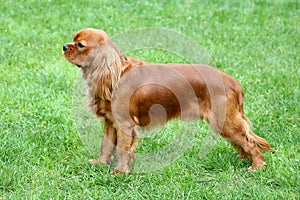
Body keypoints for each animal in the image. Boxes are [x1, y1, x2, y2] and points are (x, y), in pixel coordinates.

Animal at [62, 28, 274, 175]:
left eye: (80, 45)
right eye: (73, 41)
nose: (64, 46)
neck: (115, 74)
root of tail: (233, 82)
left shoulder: (124, 125)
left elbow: (123, 150)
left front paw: (120, 172)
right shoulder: (110, 123)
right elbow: (106, 146)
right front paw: (101, 164)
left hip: (224, 122)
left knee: (249, 143)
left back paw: (257, 166)